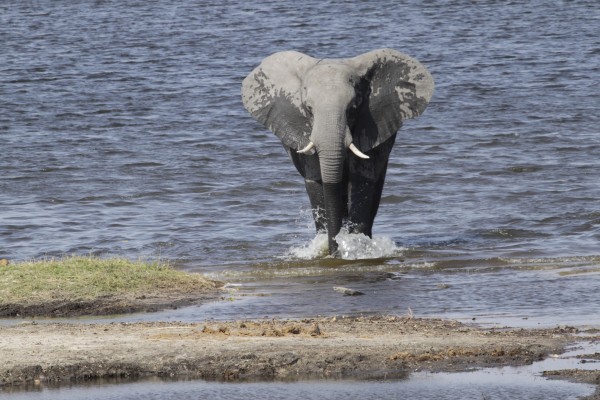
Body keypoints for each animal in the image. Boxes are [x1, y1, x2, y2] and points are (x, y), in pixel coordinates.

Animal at [241, 48, 434, 258]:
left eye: (352, 109)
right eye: (309, 109)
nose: (336, 251)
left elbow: (361, 179)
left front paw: (356, 245)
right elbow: (317, 181)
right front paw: (327, 244)